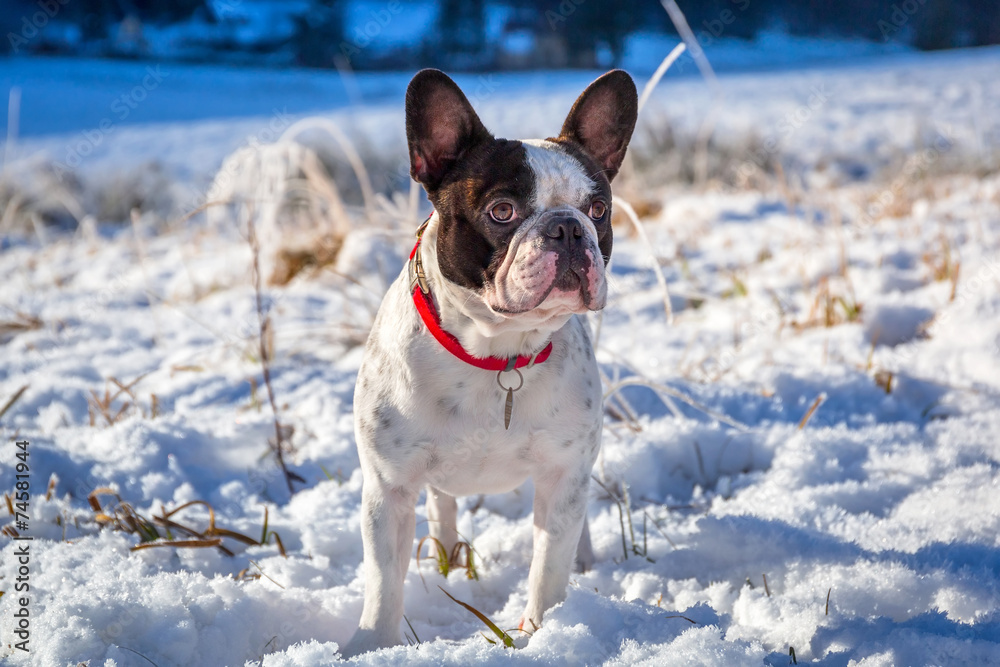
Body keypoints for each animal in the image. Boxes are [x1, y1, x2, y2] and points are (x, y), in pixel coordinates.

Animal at [344, 69, 636, 656]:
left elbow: (548, 569)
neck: (496, 354)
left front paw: (544, 632)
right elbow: (384, 583)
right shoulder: (388, 488)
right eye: (502, 211)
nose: (568, 227)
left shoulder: (562, 475)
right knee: (442, 506)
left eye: (599, 211)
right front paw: (372, 645)